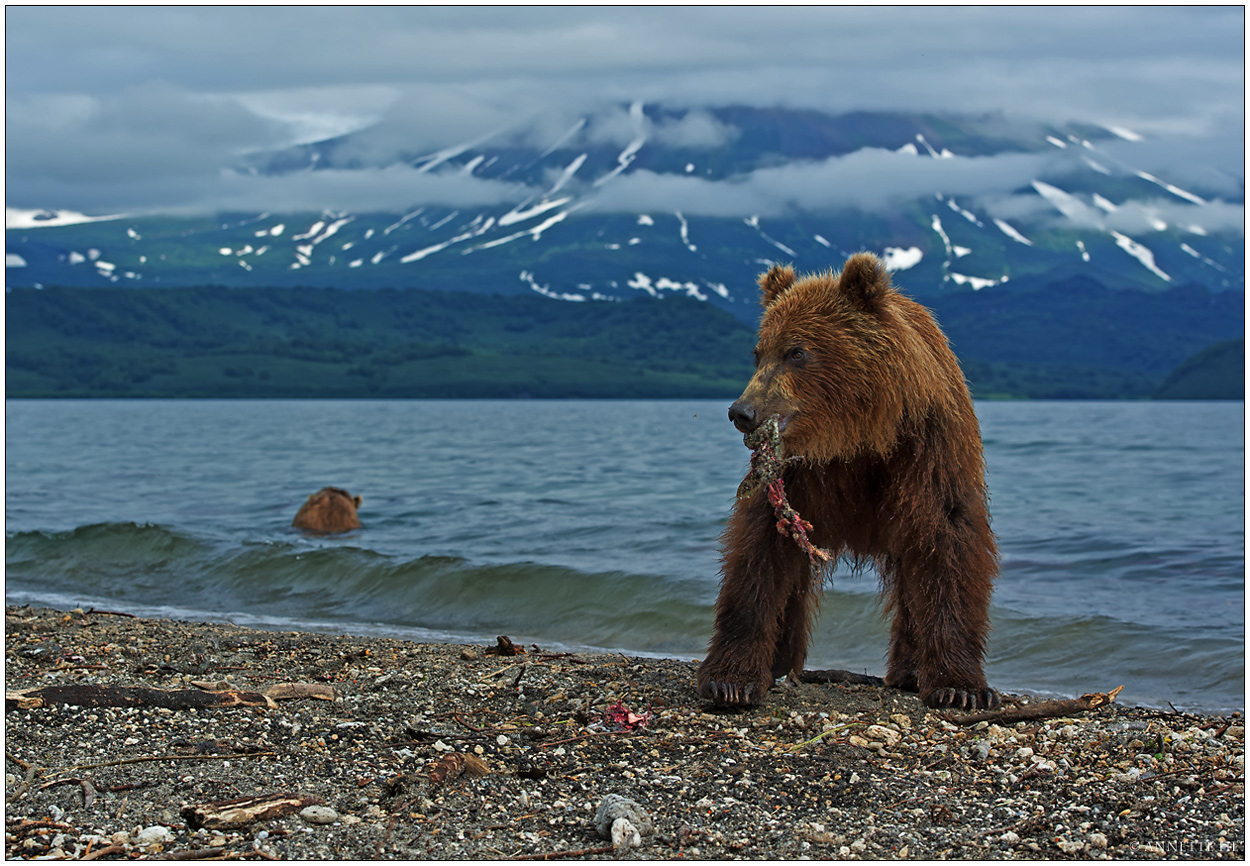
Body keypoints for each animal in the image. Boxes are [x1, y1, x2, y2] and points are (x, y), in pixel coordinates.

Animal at [700, 251, 1000, 709]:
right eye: (758, 352)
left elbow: (948, 540)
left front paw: (959, 687)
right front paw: (730, 679)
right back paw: (780, 662)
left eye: (796, 351)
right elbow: (760, 552)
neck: (857, 436)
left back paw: (911, 670)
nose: (742, 411)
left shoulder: (927, 449)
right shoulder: (798, 475)